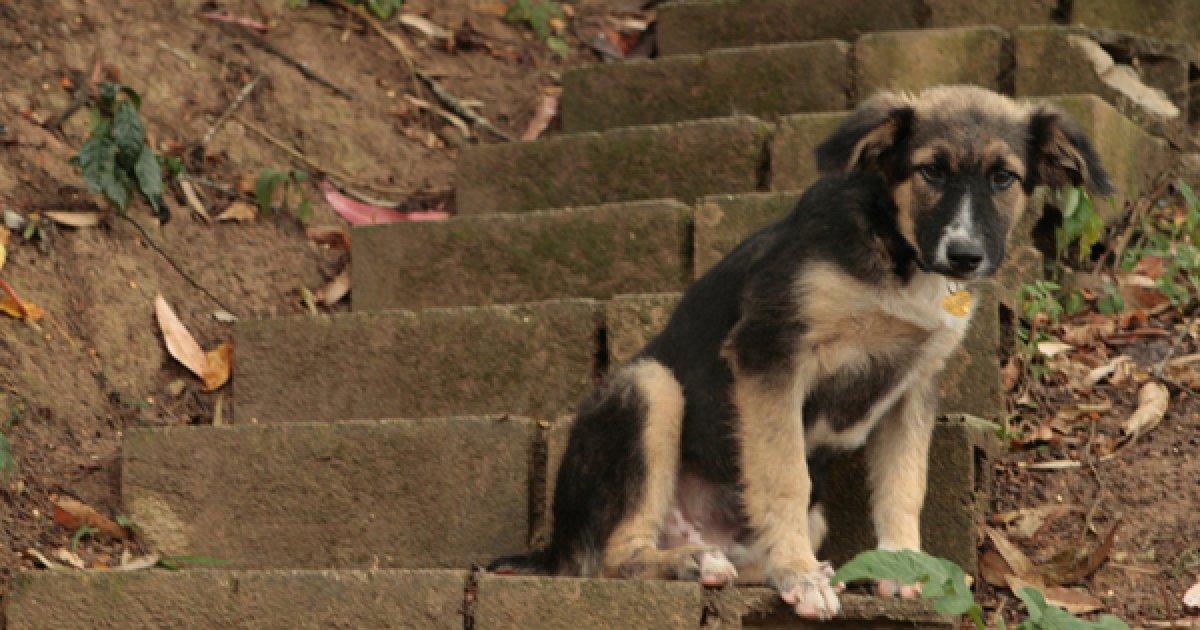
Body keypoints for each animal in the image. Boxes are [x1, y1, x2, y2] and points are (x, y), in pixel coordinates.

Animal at [492, 85, 1108, 614]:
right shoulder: (770, 354)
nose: (964, 255)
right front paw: (798, 574)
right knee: (611, 557)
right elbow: (785, 473)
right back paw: (696, 564)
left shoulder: (913, 386)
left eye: (1004, 178)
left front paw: (902, 568)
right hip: (648, 387)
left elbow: (904, 484)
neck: (897, 256)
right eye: (931, 169)